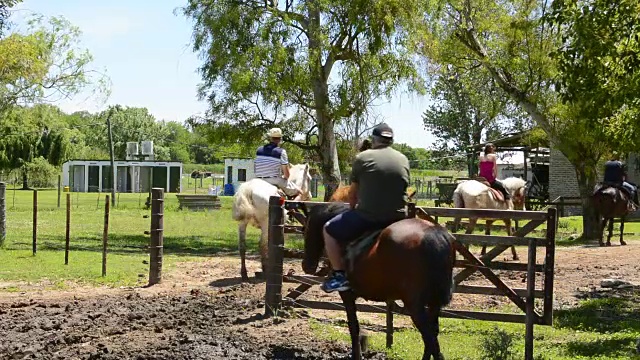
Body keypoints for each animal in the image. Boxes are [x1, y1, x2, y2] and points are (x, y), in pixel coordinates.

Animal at [302, 202, 456, 360]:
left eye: (305, 229)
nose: (306, 266)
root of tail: (434, 235)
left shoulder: (347, 295)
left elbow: (353, 327)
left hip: (415, 305)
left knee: (429, 337)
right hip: (433, 303)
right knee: (432, 335)